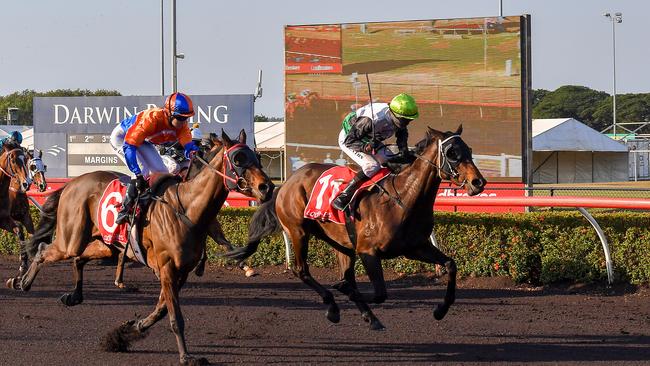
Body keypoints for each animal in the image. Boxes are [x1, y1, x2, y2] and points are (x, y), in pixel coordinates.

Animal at [17, 130, 270, 364]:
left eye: (256, 156)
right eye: (238, 158)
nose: (266, 187)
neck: (187, 208)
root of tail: (71, 184)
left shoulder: (181, 271)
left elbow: (161, 309)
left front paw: (131, 329)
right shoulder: (167, 268)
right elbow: (175, 317)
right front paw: (186, 356)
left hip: (108, 244)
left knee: (78, 258)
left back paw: (73, 295)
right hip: (72, 239)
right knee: (44, 249)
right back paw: (22, 281)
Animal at [225, 125, 484, 328]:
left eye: (469, 150)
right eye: (451, 152)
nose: (478, 182)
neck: (403, 198)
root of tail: (286, 182)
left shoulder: (414, 247)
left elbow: (450, 264)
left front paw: (441, 309)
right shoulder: (368, 252)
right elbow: (378, 293)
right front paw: (346, 294)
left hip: (340, 242)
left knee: (343, 272)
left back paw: (365, 315)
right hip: (298, 231)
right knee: (302, 270)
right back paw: (332, 306)